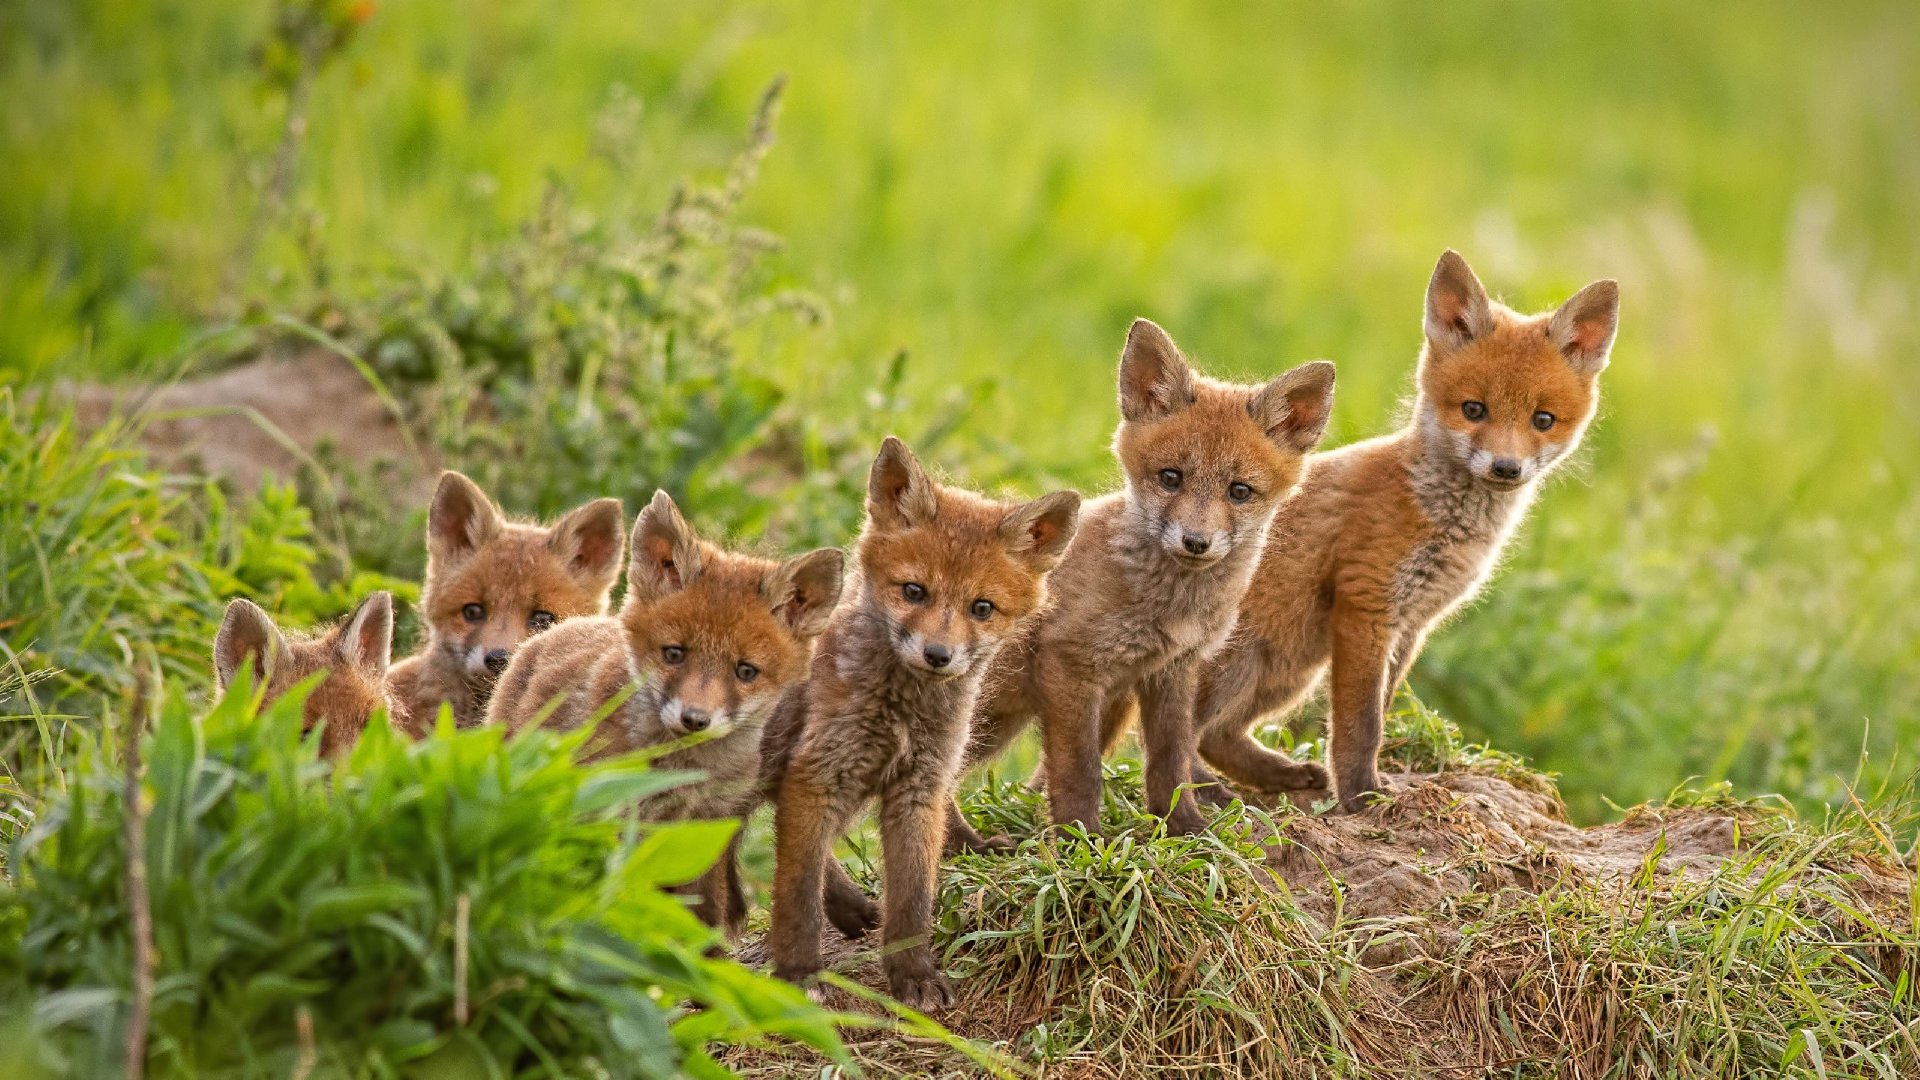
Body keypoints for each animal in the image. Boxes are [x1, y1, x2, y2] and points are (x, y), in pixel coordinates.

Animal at [486, 490, 845, 933]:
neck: (683, 775)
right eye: (674, 654)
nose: (695, 719)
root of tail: (564, 626)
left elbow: (704, 911)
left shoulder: (709, 826)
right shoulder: (621, 817)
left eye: (745, 671)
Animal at [761, 436, 1079, 1009]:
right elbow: (796, 892)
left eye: (982, 607)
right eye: (913, 592)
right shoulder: (816, 775)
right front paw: (797, 973)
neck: (902, 713)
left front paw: (913, 973)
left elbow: (913, 896)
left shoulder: (920, 787)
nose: (938, 655)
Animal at [943, 319, 1335, 850]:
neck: (1168, 606)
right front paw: (1081, 841)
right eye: (1170, 477)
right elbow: (1080, 772)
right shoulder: (1069, 667)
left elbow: (1170, 765)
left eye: (1239, 491)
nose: (1196, 542)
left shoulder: (1172, 671)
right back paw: (967, 845)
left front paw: (1185, 829)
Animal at [1189, 250, 1620, 812]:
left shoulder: (1411, 624)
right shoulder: (1366, 603)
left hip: (1285, 669)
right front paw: (1362, 797)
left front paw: (1360, 789)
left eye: (1542, 420)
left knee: (1216, 735)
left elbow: (1380, 707)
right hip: (1243, 663)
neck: (1441, 520)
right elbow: (1361, 723)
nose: (1506, 468)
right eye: (1474, 409)